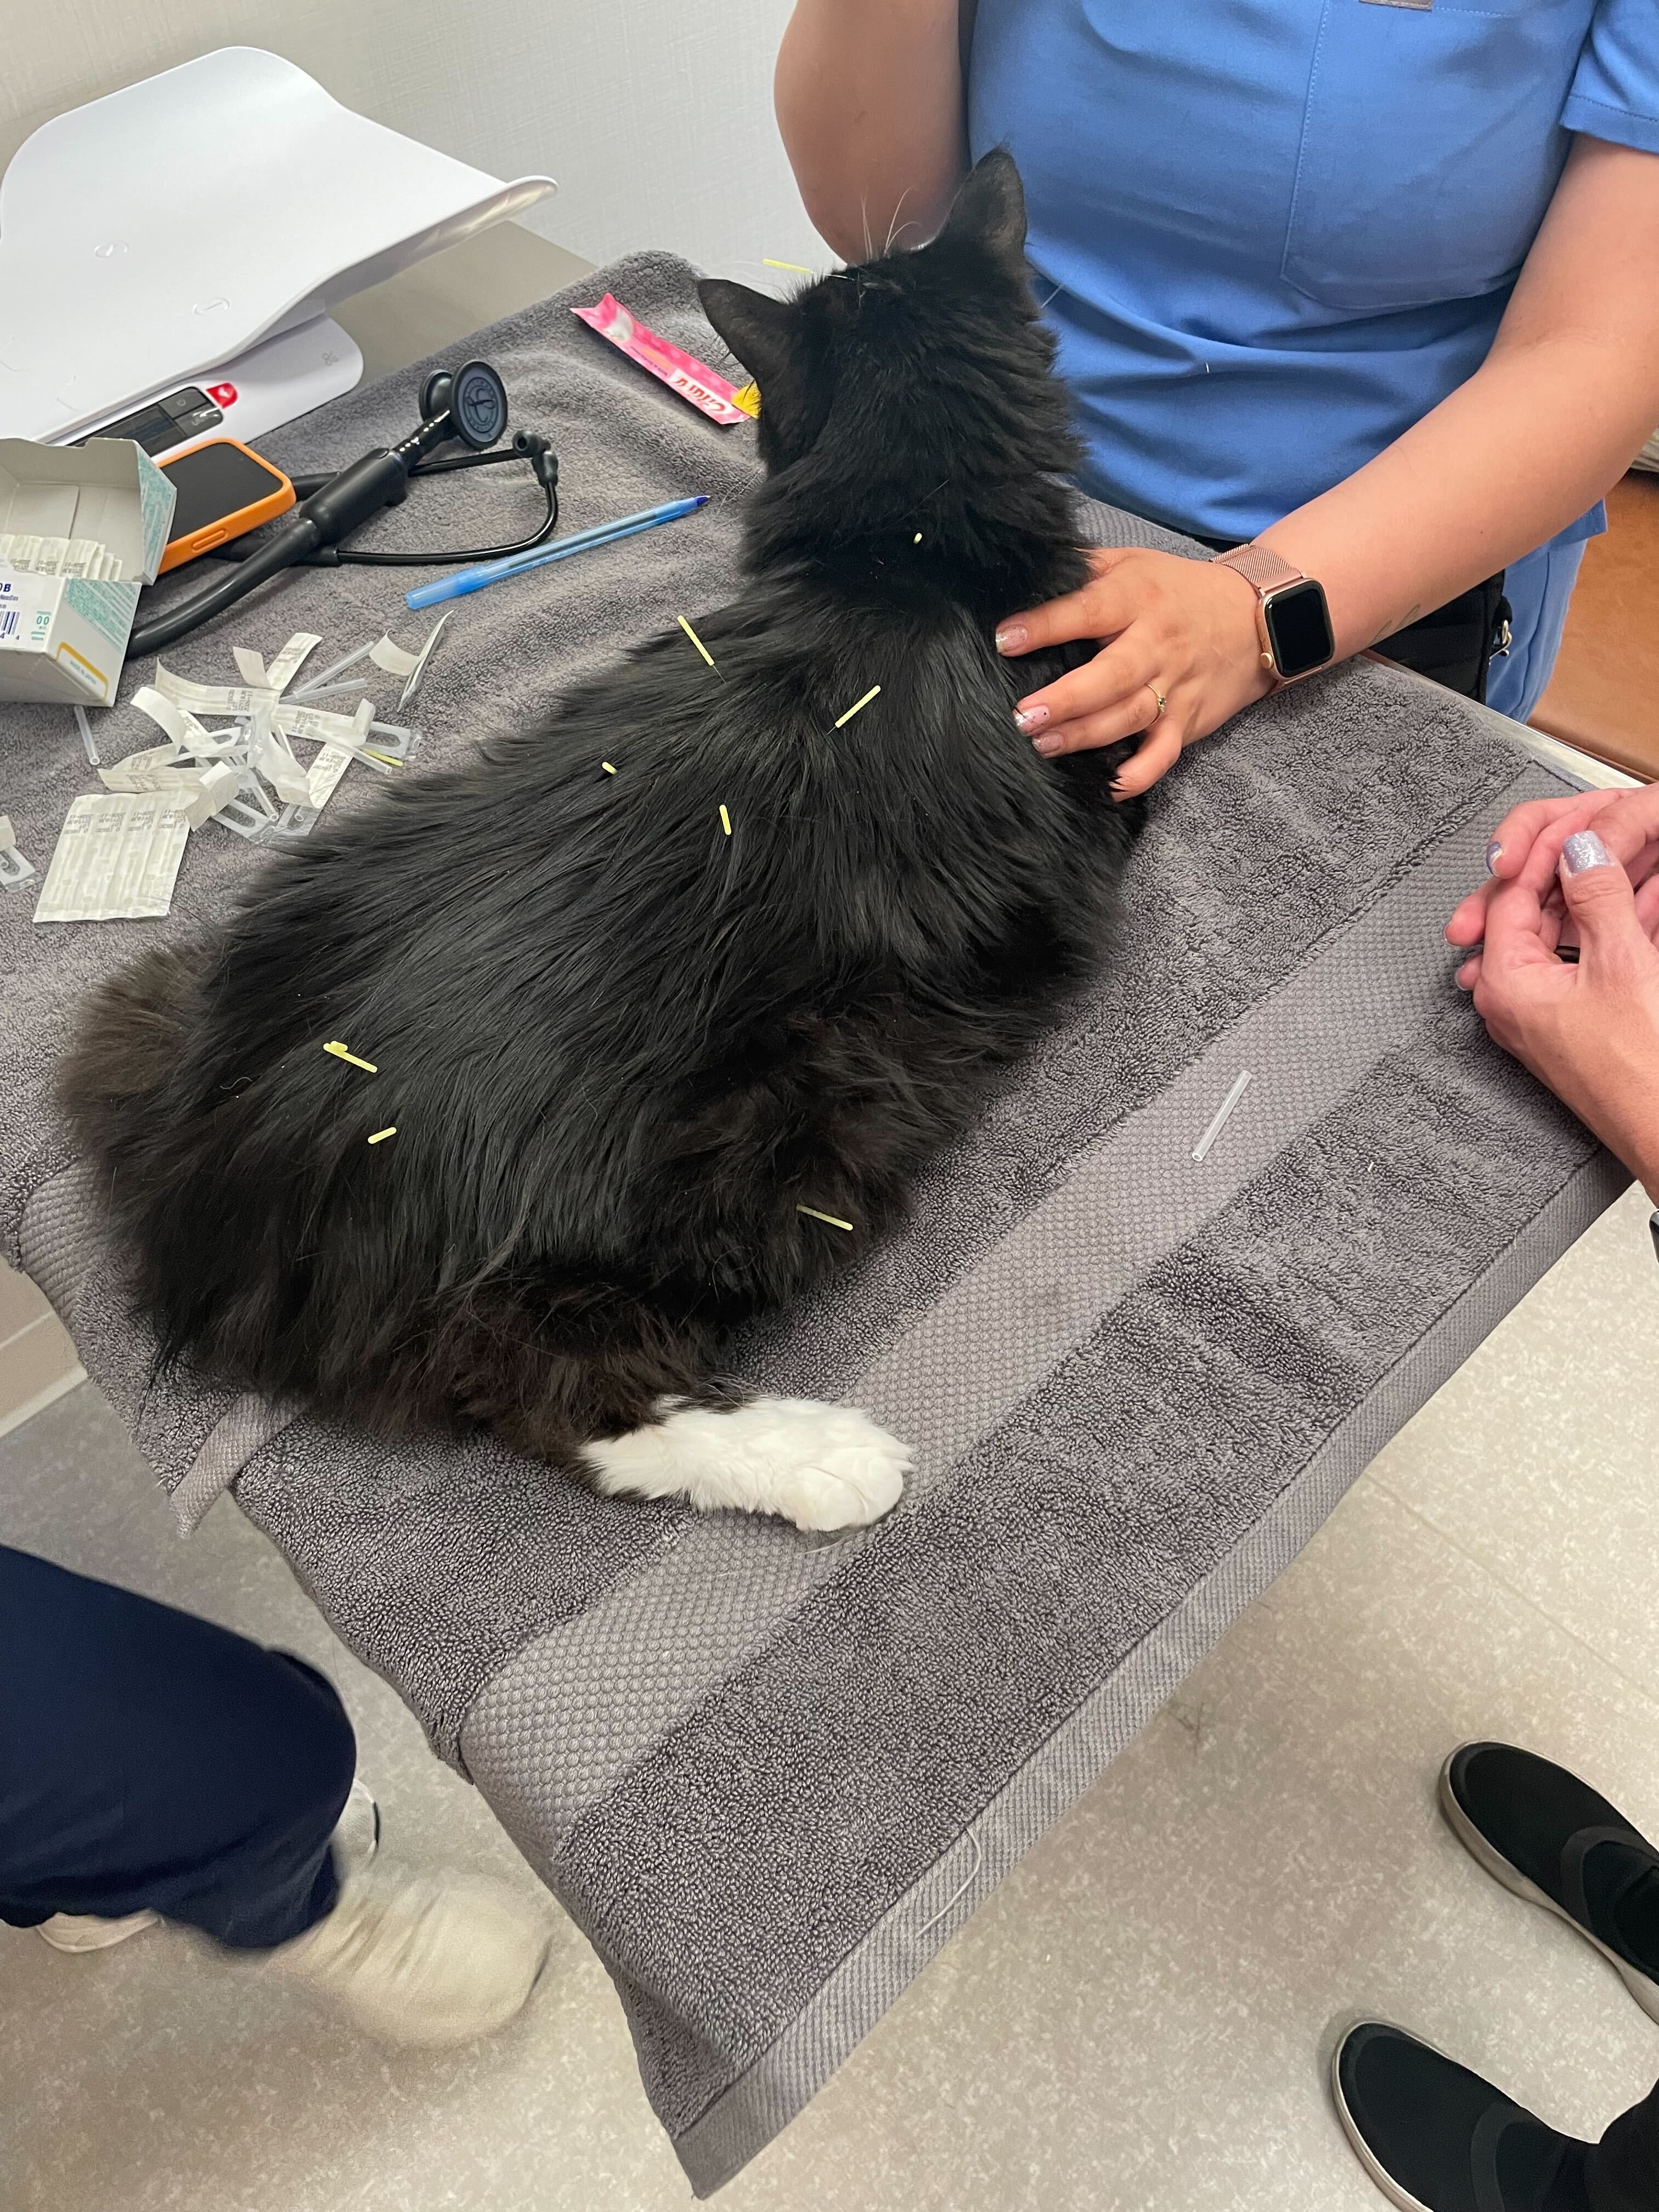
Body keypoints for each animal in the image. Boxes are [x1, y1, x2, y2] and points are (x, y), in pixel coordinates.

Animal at [61, 156, 1141, 1531]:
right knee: (564, 1391)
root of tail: (226, 1182)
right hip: (787, 1128)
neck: (900, 557)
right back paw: (826, 1460)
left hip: (191, 972)